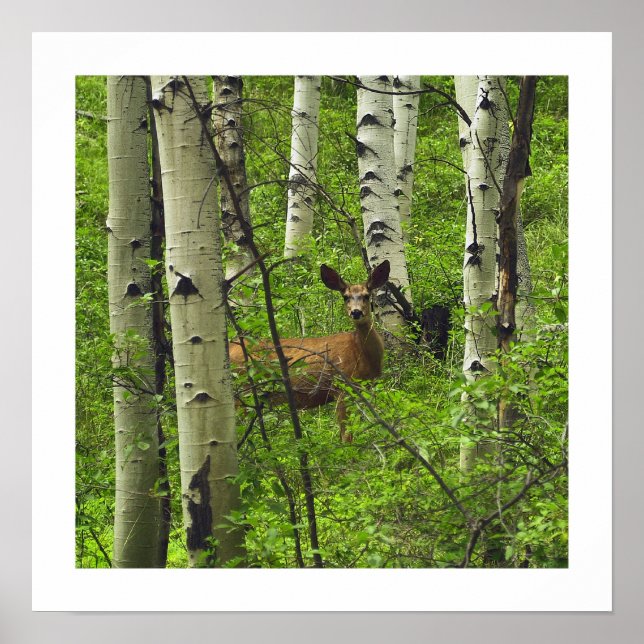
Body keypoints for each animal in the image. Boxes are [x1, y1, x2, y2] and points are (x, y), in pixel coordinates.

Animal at [228, 260, 390, 443]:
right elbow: (346, 435)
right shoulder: (342, 386)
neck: (361, 354)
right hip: (242, 391)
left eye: (366, 295)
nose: (356, 312)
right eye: (345, 297)